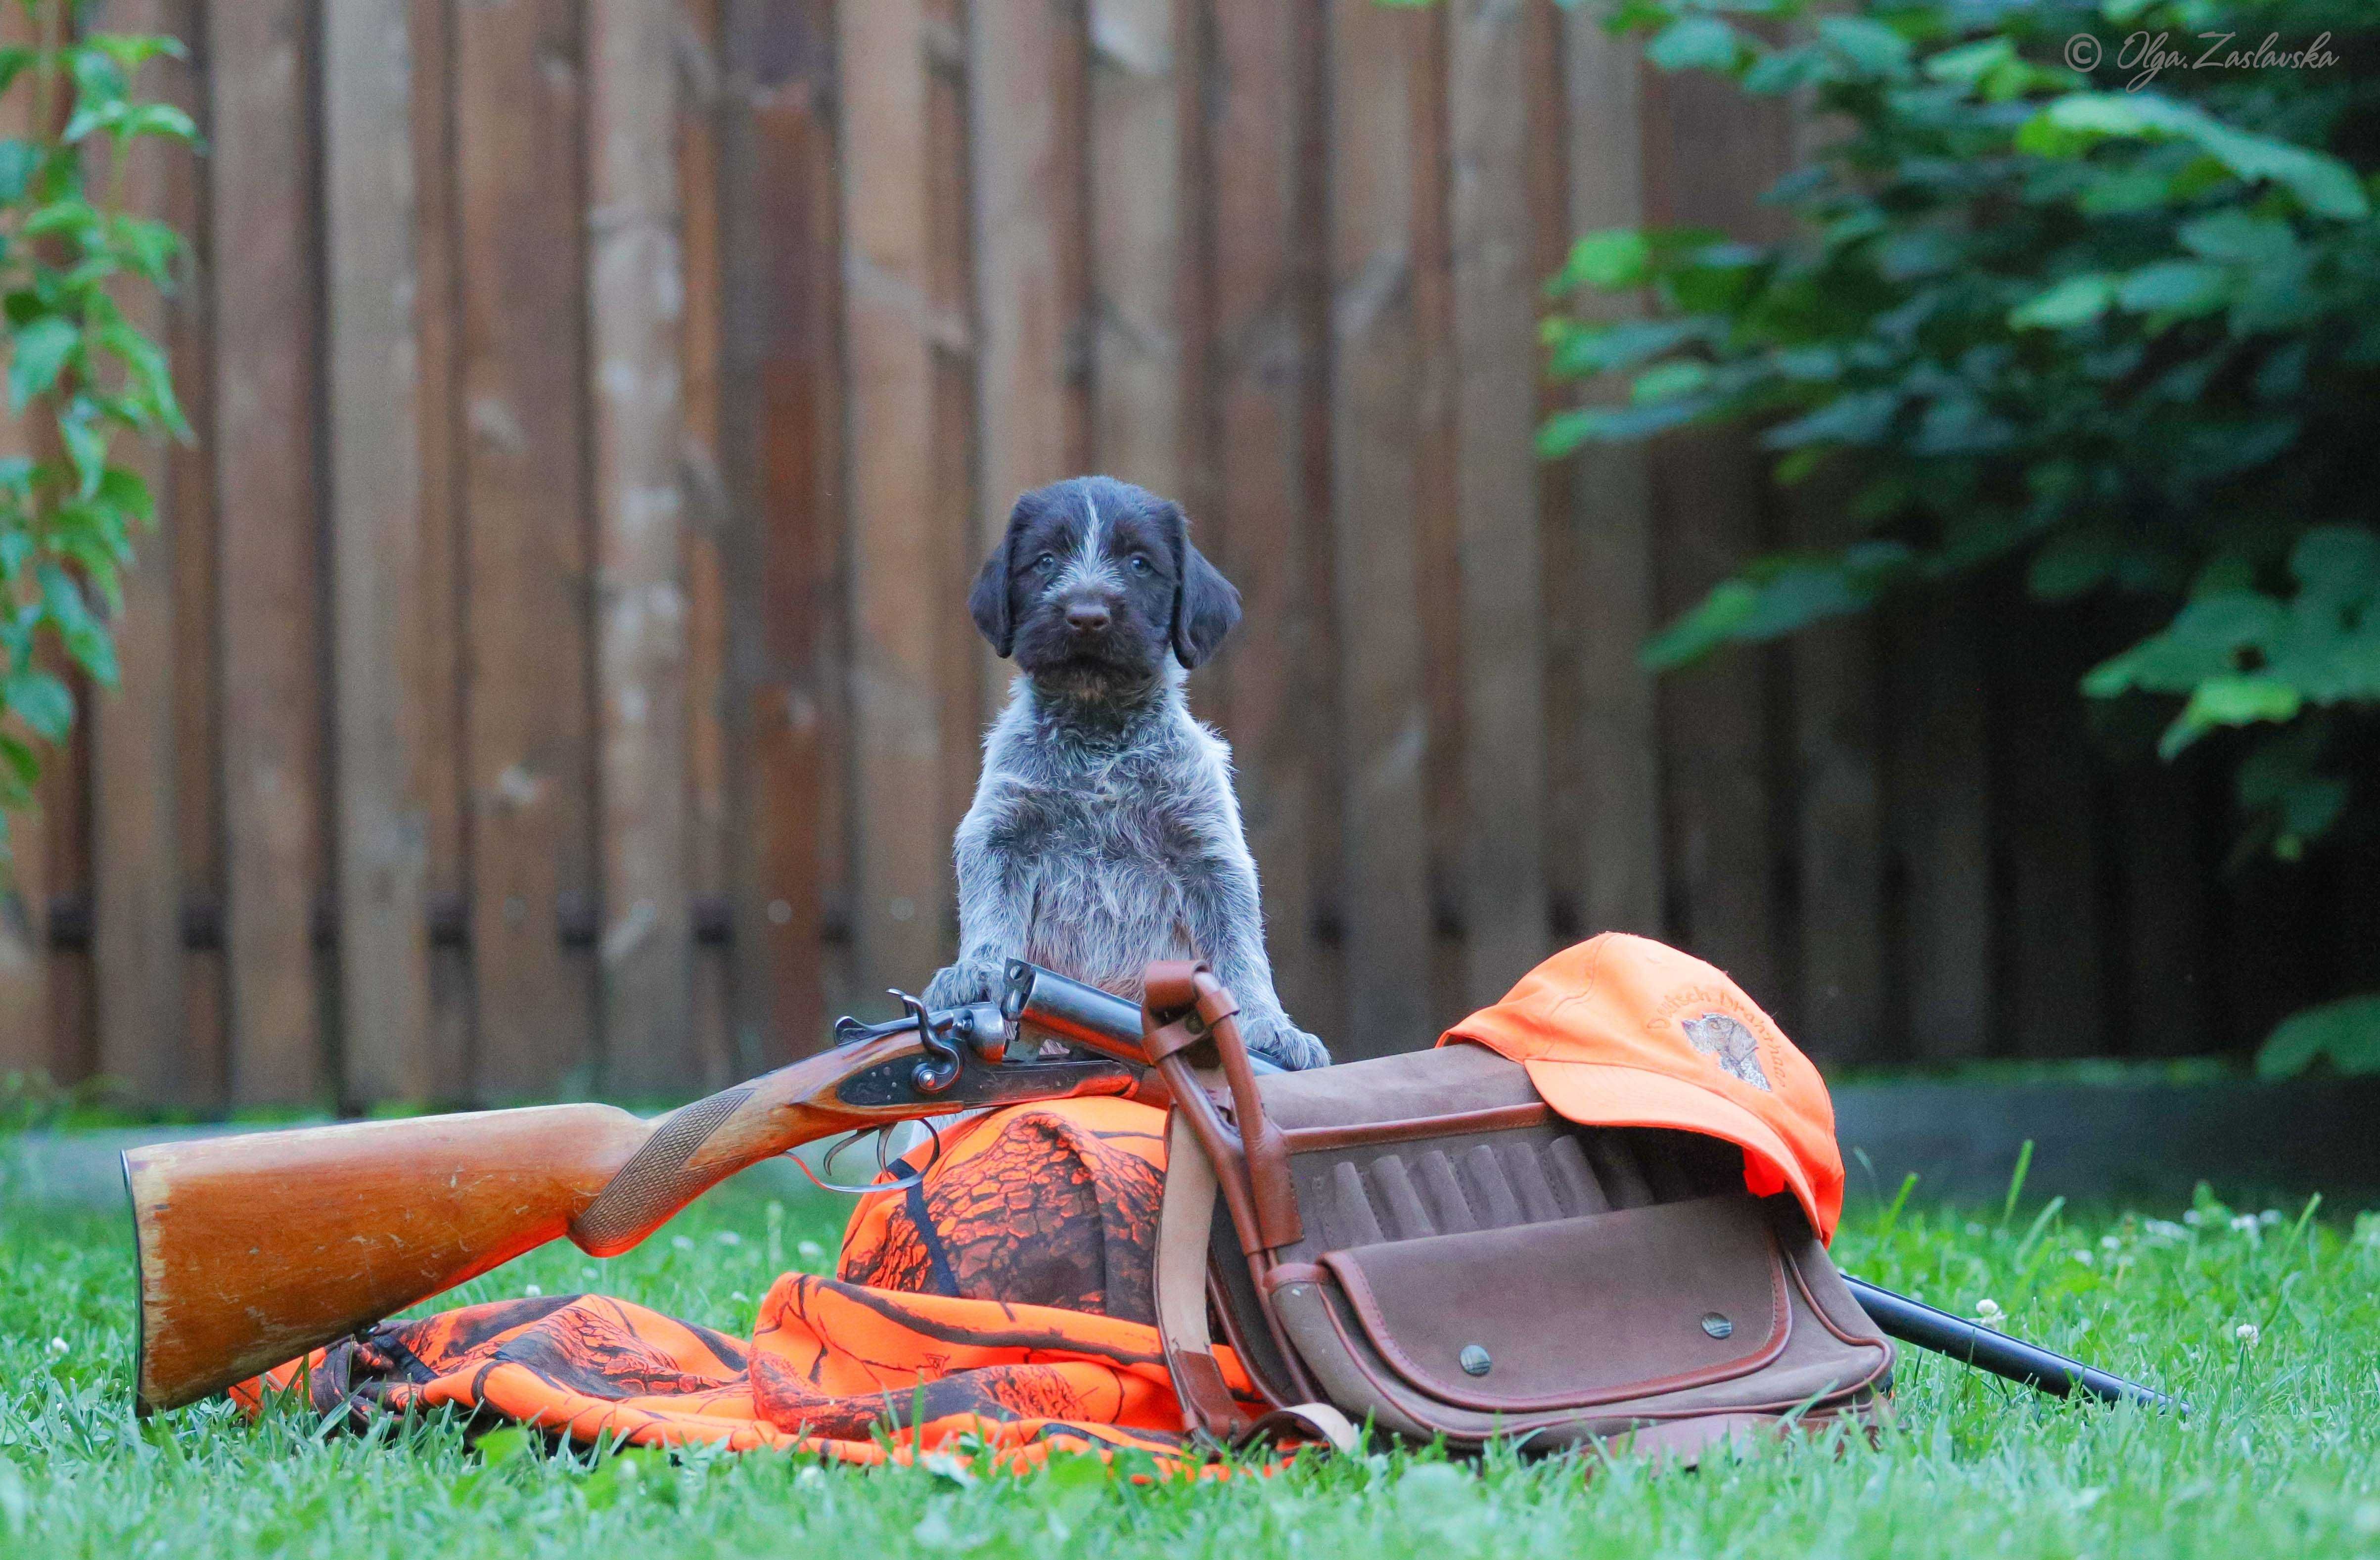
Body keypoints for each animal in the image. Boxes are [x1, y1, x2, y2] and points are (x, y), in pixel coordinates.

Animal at [923, 476, 1342, 1076]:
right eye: (1045, 561)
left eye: (1140, 563)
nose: (1087, 614)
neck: (1099, 733)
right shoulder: (1003, 831)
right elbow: (991, 910)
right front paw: (977, 970)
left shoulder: (1208, 852)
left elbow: (1239, 950)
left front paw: (1268, 1027)